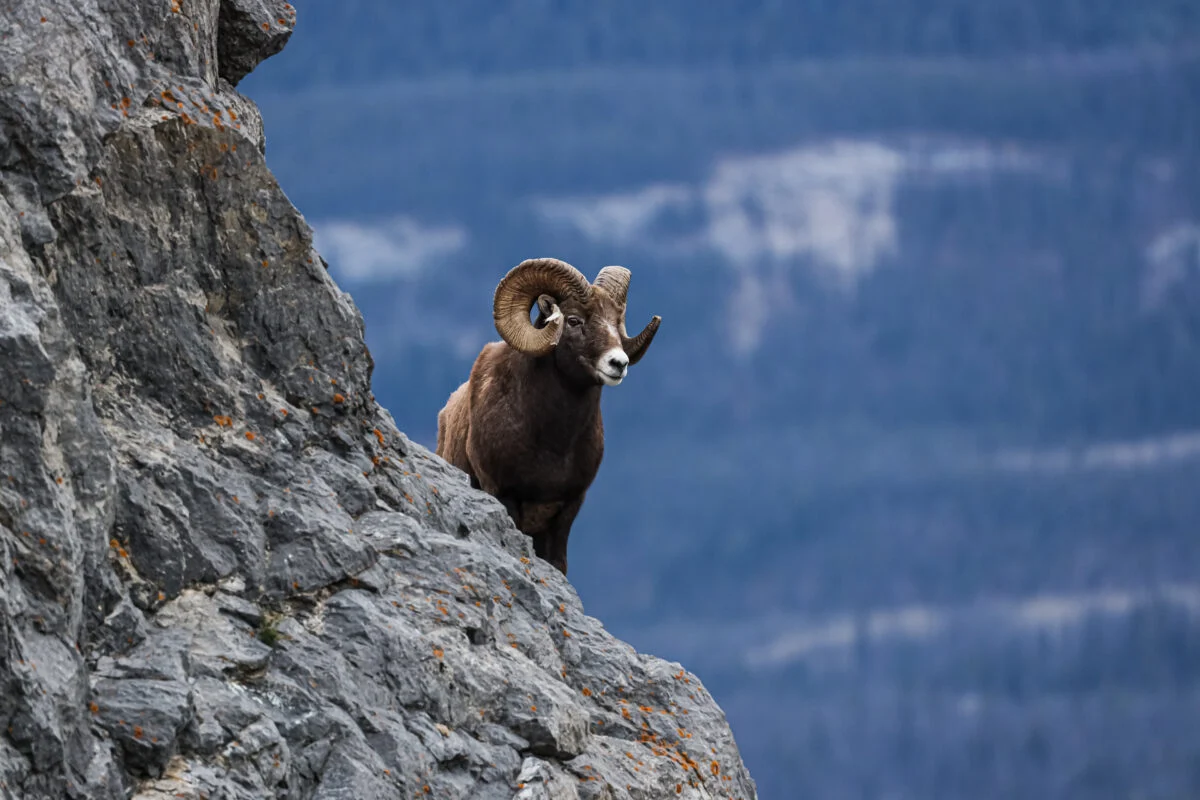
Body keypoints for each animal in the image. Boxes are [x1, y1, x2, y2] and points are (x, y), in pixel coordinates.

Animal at [436, 257, 661, 575]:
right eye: (574, 320)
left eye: (616, 322)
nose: (618, 363)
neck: (553, 444)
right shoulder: (504, 495)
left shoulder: (567, 509)